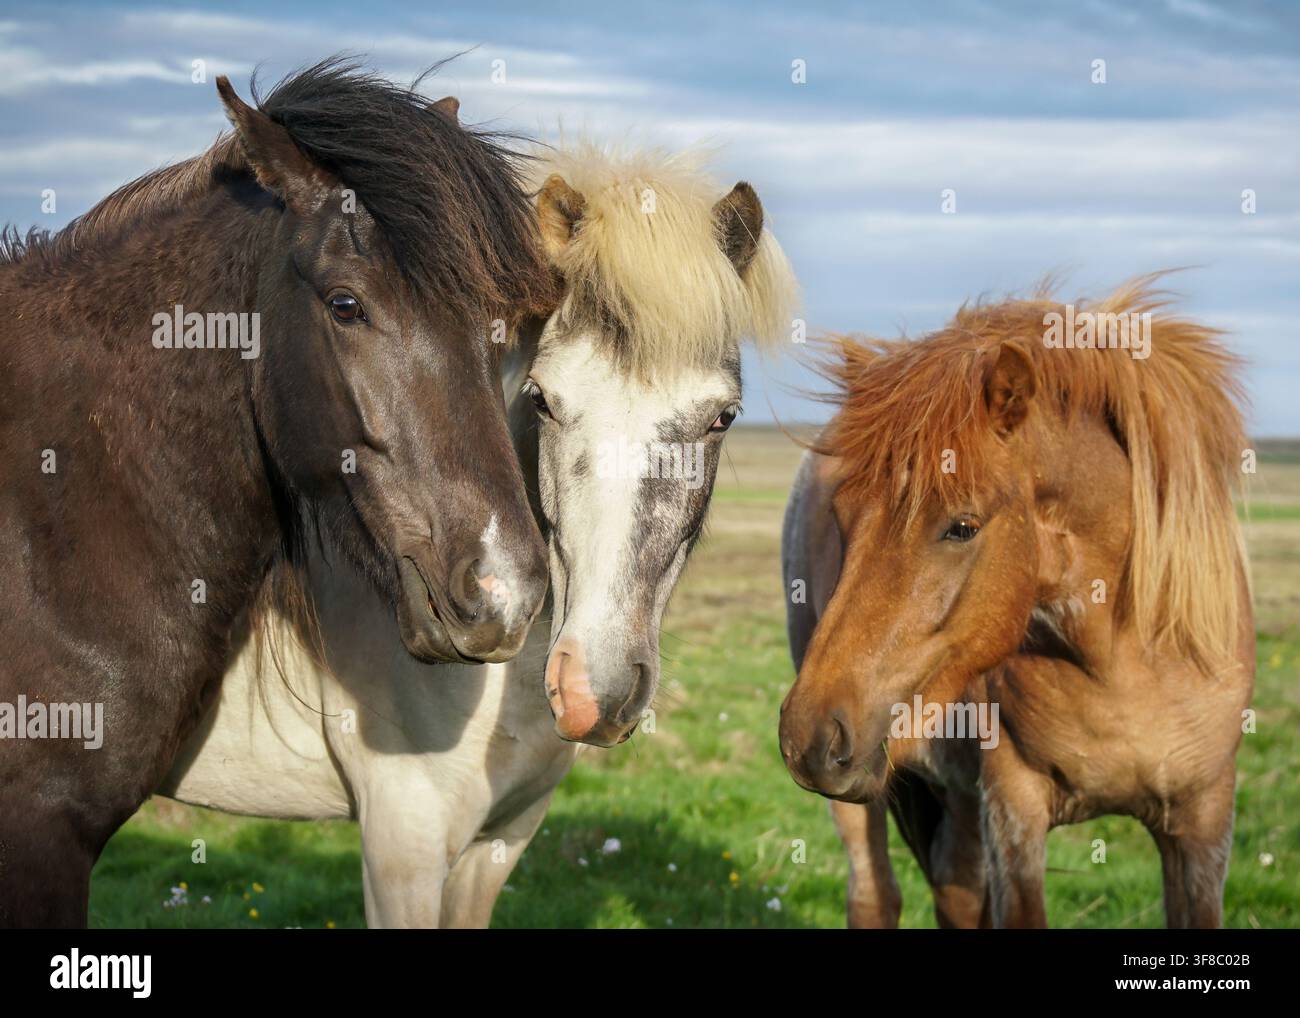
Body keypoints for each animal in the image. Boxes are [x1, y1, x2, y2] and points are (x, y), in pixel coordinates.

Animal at [779, 278, 1254, 928]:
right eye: (842, 514)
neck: (1121, 665)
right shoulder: (1015, 809)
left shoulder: (1204, 822)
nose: (809, 735)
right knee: (876, 894)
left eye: (962, 527)